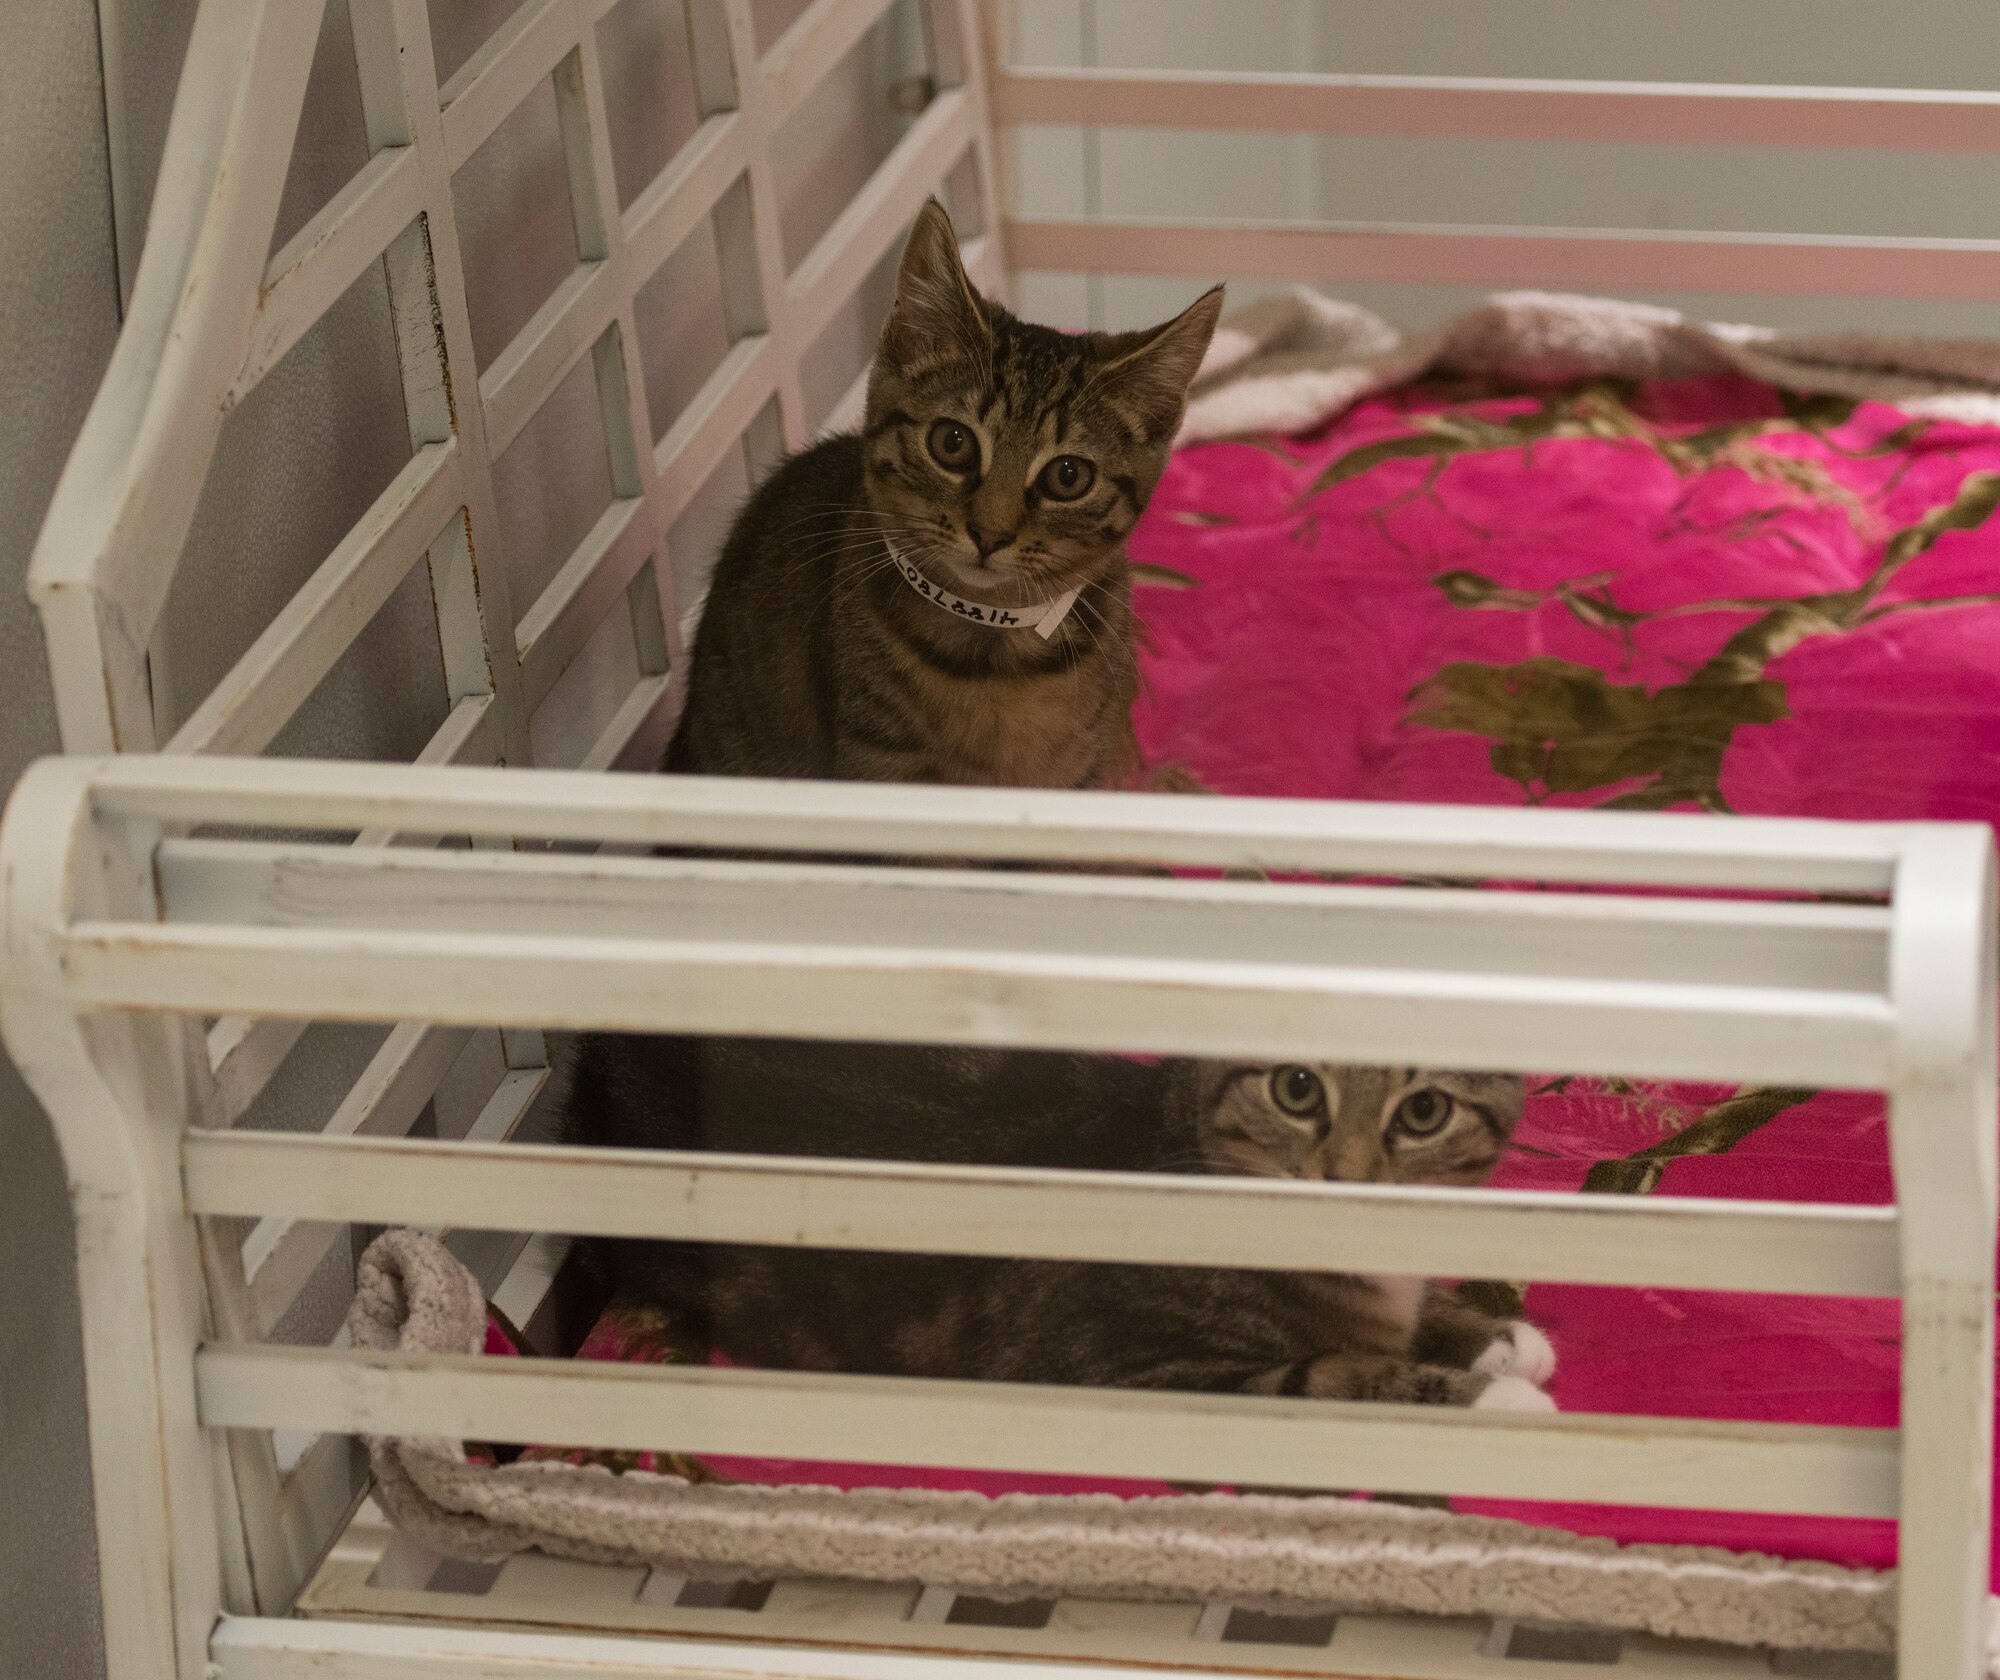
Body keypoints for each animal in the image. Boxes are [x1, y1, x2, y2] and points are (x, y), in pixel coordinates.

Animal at [572, 1040, 1552, 1416]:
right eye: (1297, 1089)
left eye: (1423, 1112)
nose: (1344, 1176)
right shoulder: (1120, 1368)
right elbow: (1325, 1374)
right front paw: (1491, 1399)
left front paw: (1496, 1337)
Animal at [664, 200, 1216, 792]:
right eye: (952, 443)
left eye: (1068, 476)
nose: (989, 534)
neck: (997, 650)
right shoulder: (883, 764)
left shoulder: (1079, 774)